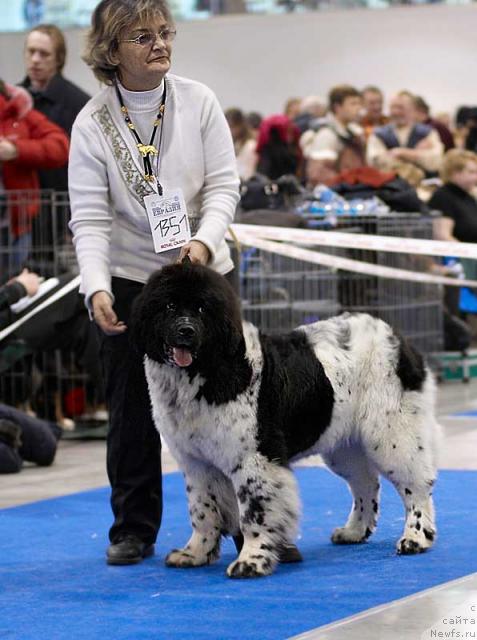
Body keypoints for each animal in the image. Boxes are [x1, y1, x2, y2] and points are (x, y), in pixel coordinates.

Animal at [132, 262, 440, 576]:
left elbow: (254, 512)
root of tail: (398, 338)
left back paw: (416, 537)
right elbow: (203, 509)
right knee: (365, 483)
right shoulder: (195, 462)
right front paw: (195, 553)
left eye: (202, 308)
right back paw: (354, 531)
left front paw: (251, 560)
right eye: (169, 306)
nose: (186, 330)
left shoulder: (254, 458)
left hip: (392, 435)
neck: (207, 370)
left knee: (416, 485)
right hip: (343, 447)